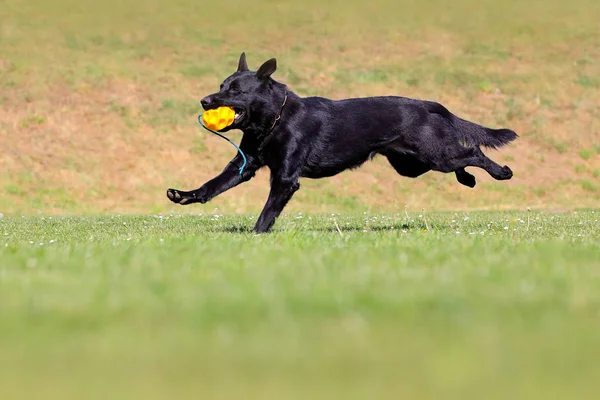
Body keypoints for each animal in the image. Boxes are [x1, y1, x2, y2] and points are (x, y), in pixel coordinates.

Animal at [166, 54, 516, 234]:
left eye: (236, 90)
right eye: (221, 85)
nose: (204, 100)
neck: (274, 120)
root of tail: (426, 104)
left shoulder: (285, 178)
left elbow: (268, 211)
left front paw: (256, 236)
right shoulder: (244, 165)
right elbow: (212, 186)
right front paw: (184, 195)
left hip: (433, 155)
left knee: (473, 151)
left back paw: (502, 173)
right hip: (413, 164)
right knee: (463, 158)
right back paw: (468, 180)